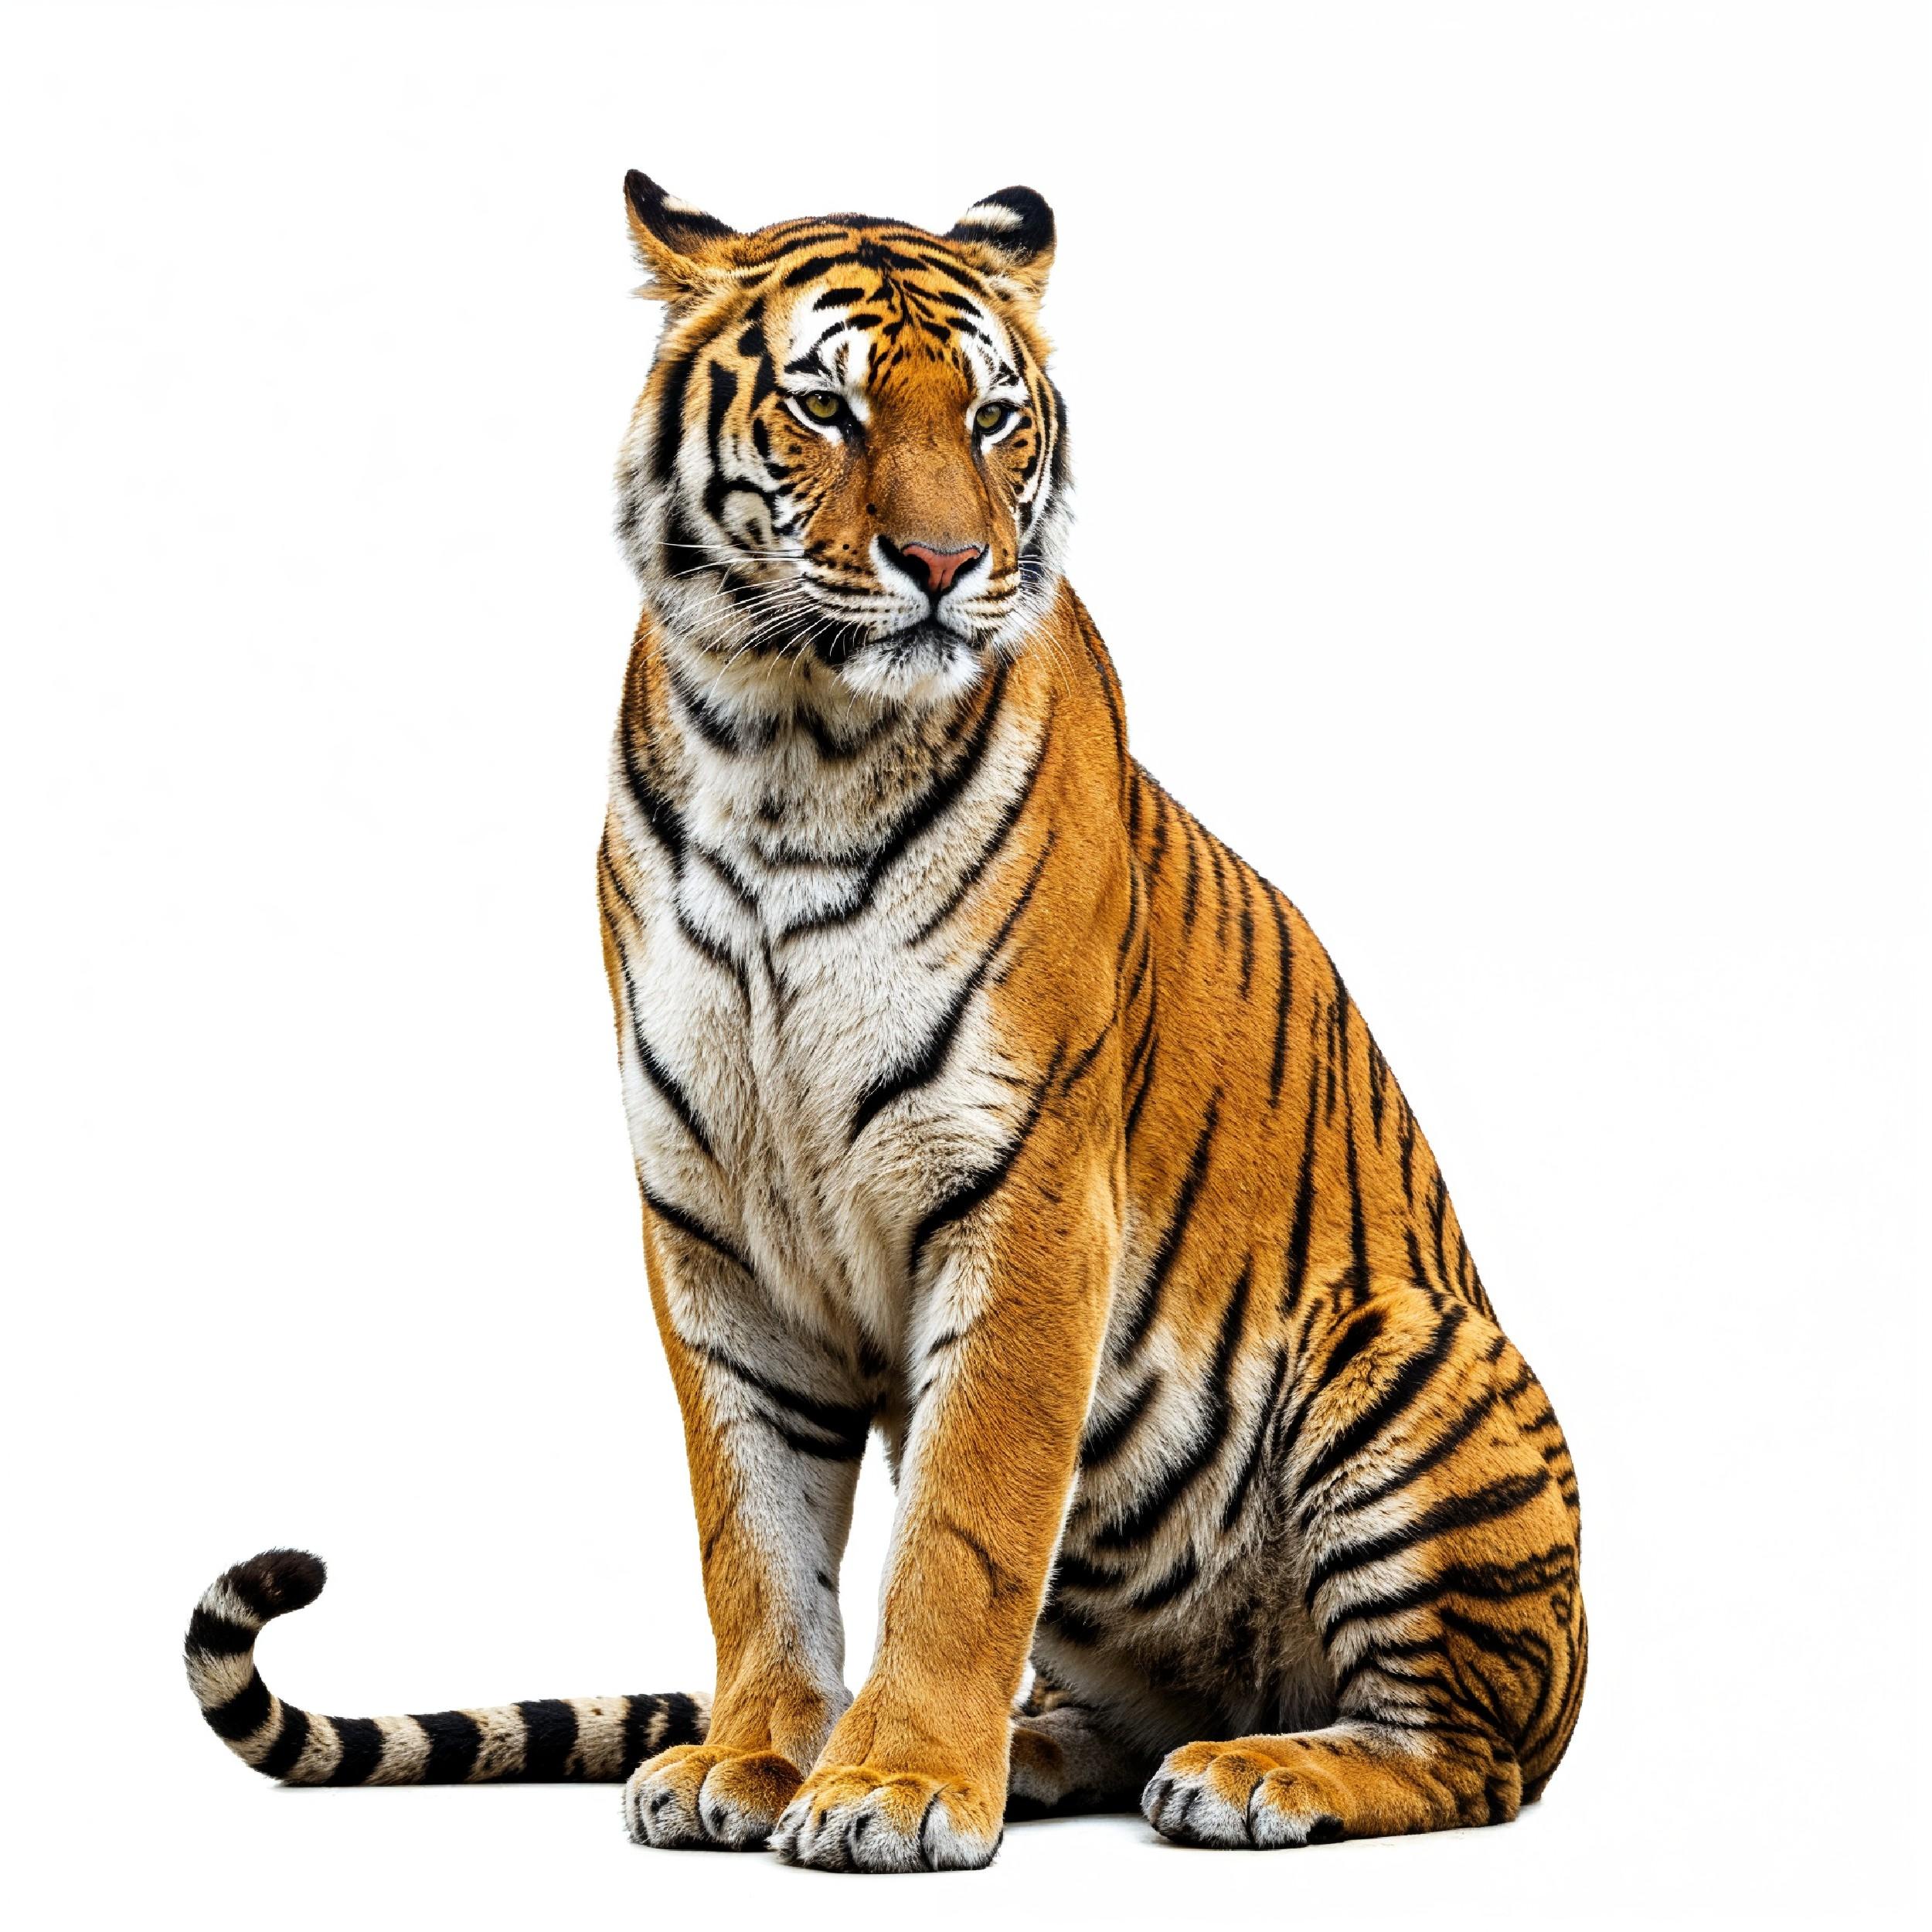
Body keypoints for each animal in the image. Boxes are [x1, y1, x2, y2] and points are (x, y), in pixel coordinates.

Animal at [186, 171, 1586, 1872]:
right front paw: (755, 1756)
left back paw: (1257, 1772)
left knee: (1465, 1753)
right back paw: (1045, 1749)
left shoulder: (1024, 1191)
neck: (784, 748)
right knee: (1136, 1716)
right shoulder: (711, 1221)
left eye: (989, 417)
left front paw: (897, 1783)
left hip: (1404, 1360)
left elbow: (965, 1532)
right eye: (826, 406)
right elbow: (754, 1531)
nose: (939, 558)